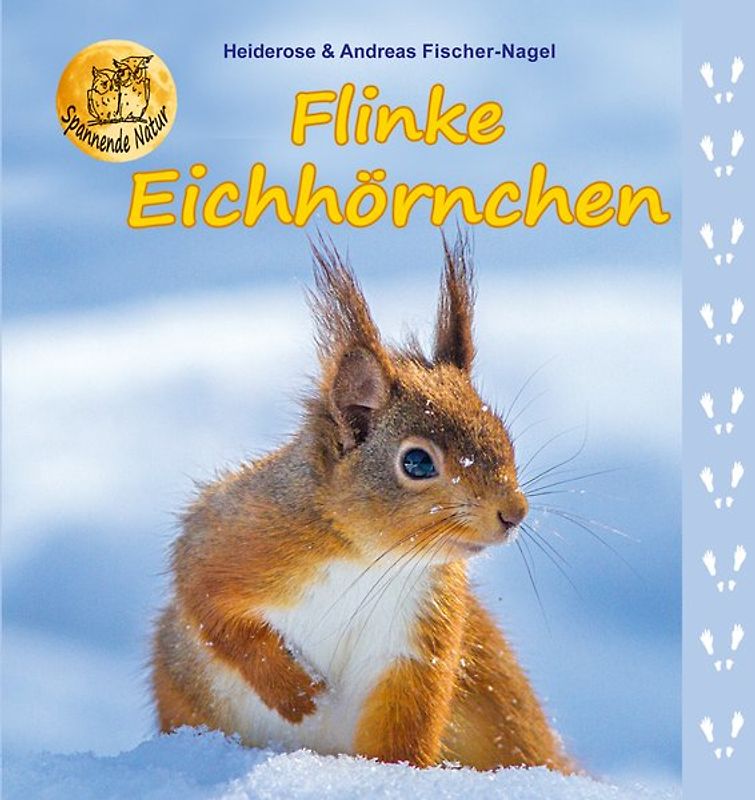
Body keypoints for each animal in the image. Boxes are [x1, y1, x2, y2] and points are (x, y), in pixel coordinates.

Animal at [151, 234, 572, 772]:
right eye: (416, 462)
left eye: (504, 435)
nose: (514, 514)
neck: (369, 558)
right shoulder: (234, 535)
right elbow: (208, 604)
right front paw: (297, 695)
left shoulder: (417, 644)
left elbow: (402, 730)